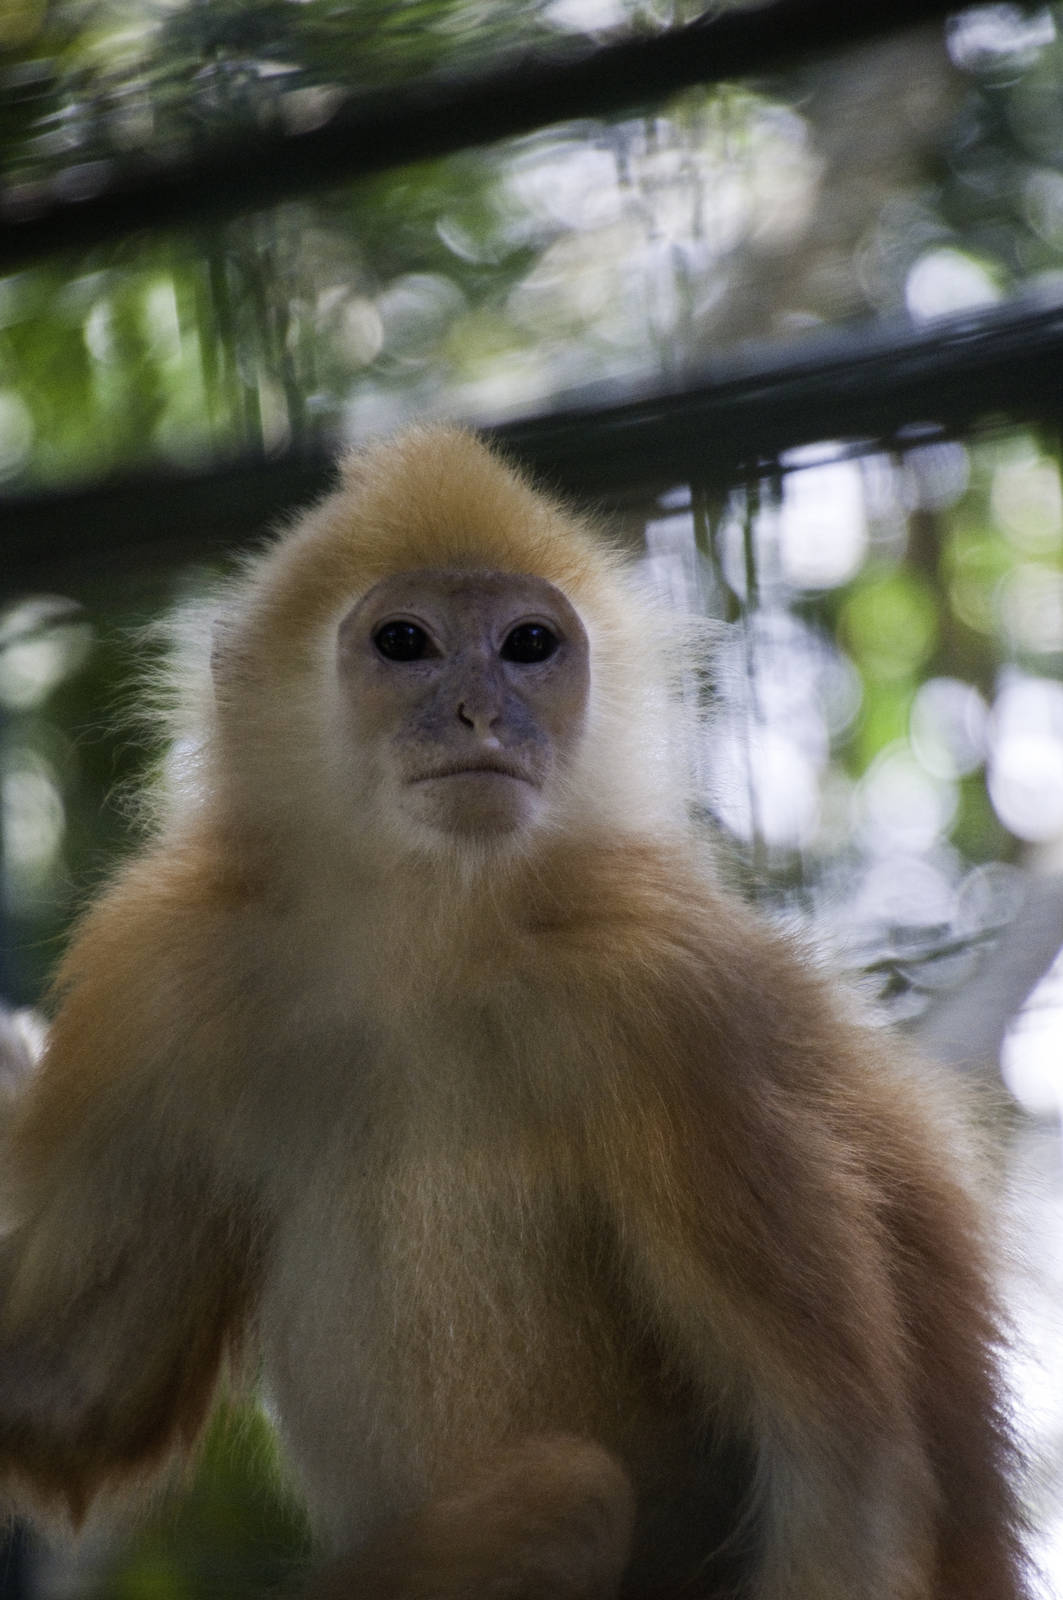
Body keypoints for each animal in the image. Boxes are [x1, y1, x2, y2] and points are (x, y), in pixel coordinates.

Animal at [0, 424, 1029, 1599]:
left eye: (529, 644)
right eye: (405, 642)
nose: (484, 712)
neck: (423, 947)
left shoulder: (673, 997)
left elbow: (841, 1469)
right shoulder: (164, 964)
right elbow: (73, 1388)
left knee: (566, 1494)